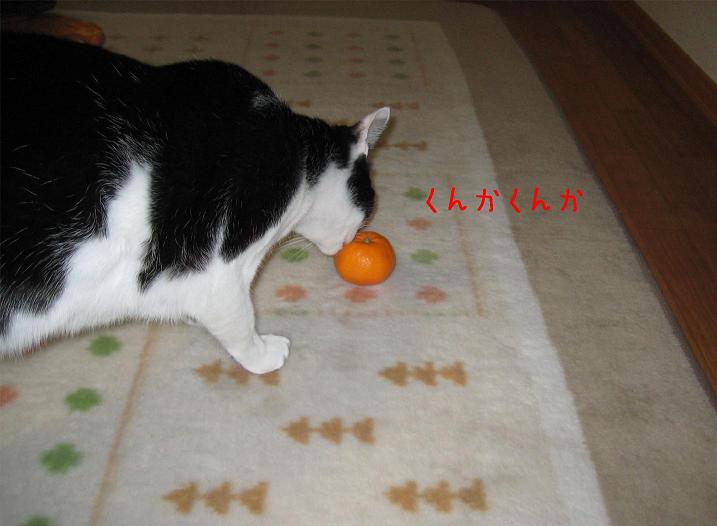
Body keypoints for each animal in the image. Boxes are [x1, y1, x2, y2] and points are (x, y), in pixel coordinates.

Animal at [0, 33, 389, 374]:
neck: (302, 159)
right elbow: (237, 317)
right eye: (368, 204)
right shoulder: (214, 265)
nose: (353, 239)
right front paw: (262, 355)